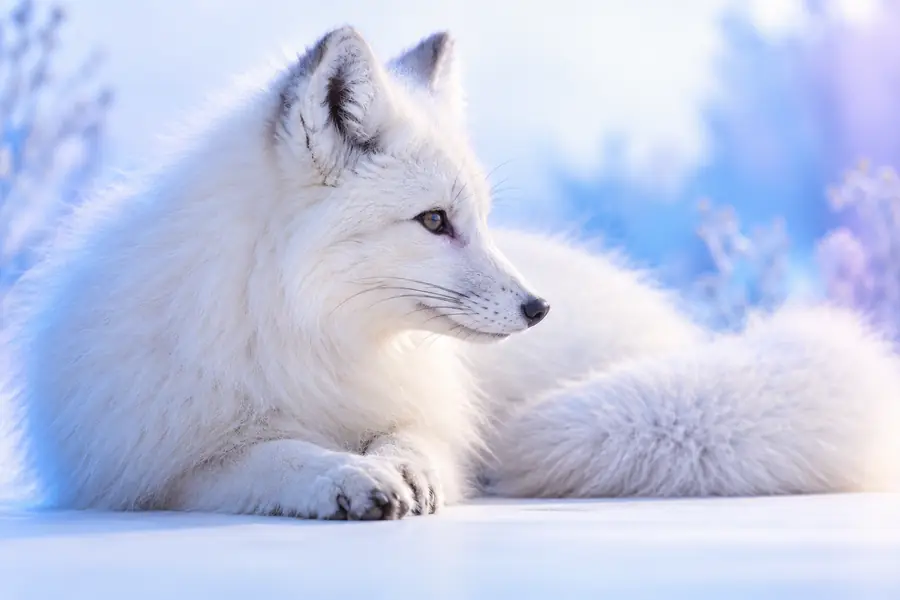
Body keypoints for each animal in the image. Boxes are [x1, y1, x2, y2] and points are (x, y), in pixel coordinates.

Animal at [4, 27, 899, 521]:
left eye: (480, 218)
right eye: (435, 222)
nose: (539, 308)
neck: (297, 325)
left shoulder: (425, 401)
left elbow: (416, 438)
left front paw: (405, 468)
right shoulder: (163, 469)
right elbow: (276, 455)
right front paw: (344, 475)